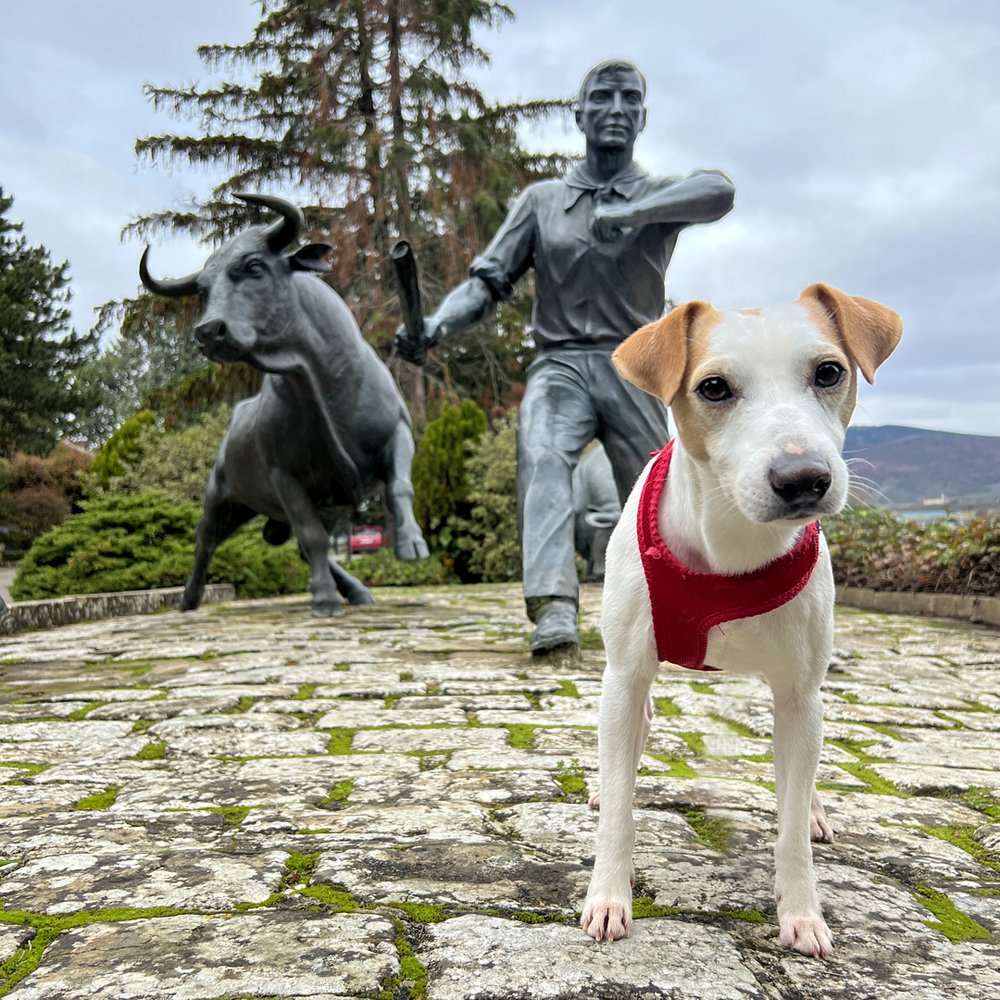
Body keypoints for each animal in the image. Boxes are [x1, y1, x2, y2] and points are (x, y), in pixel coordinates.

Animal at [584, 286, 904, 956]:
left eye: (829, 372)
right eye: (714, 388)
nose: (803, 478)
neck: (733, 544)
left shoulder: (801, 695)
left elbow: (789, 824)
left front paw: (802, 910)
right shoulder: (625, 675)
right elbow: (622, 807)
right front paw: (608, 895)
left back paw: (812, 809)